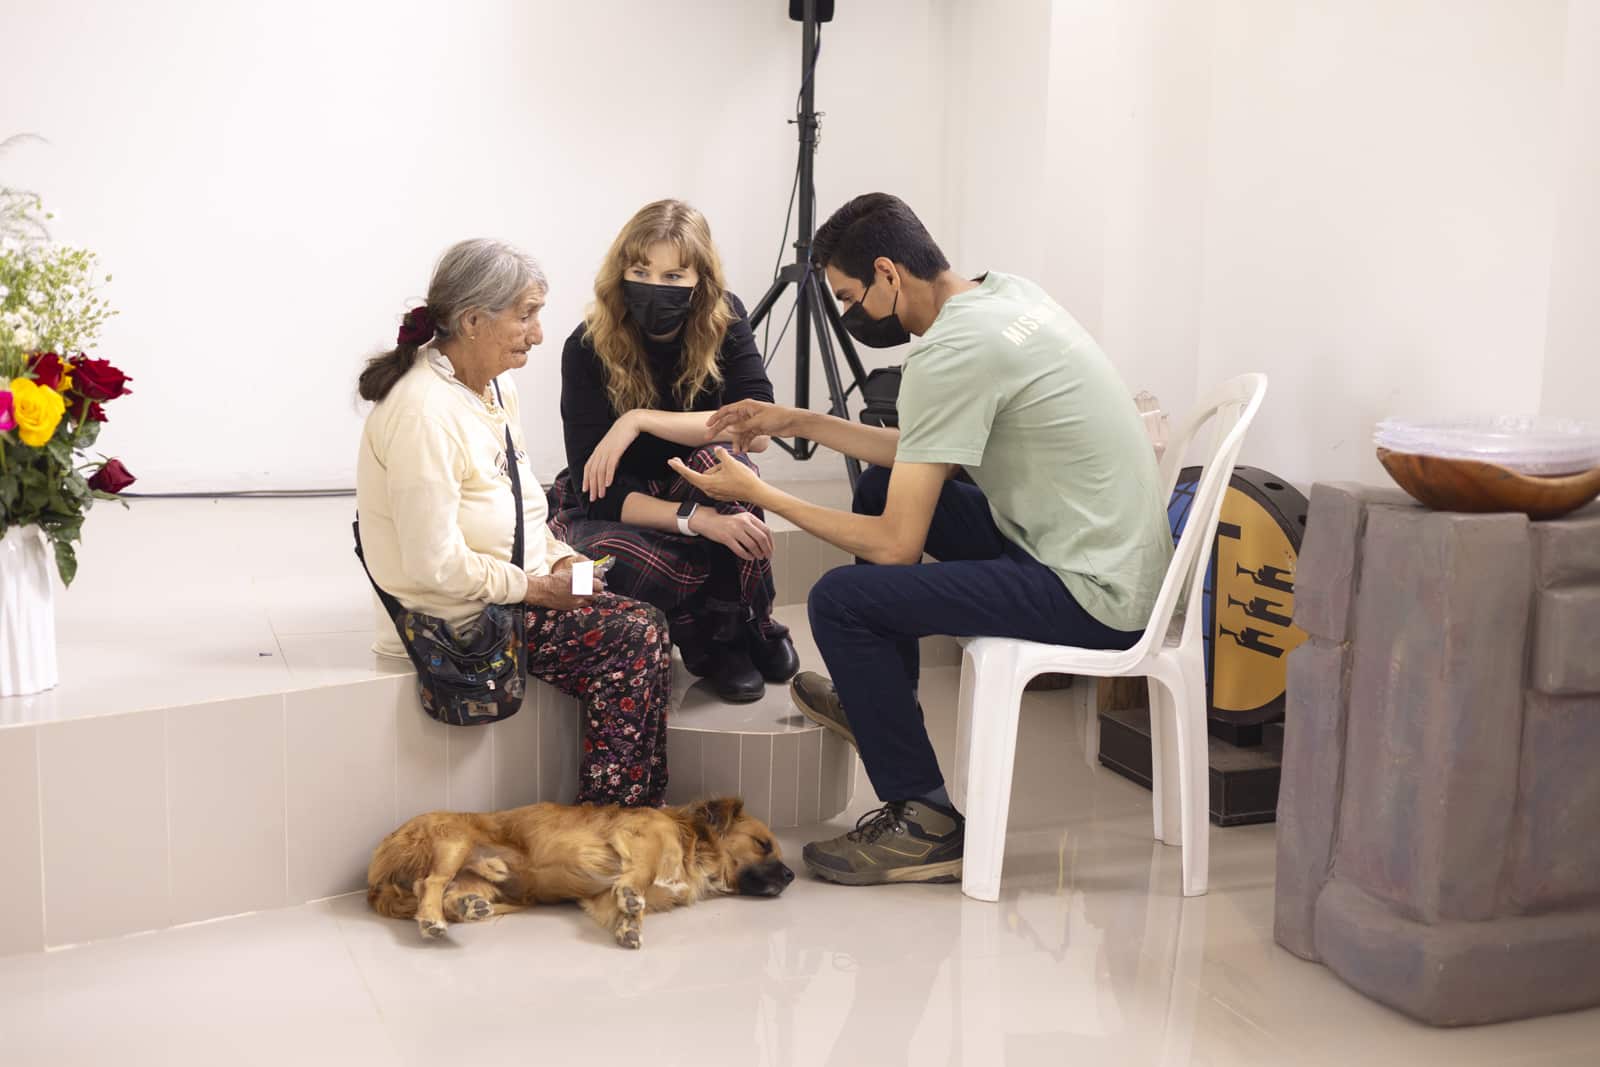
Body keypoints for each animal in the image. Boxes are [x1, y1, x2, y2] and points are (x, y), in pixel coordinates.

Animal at [367, 796, 793, 948]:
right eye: (763, 845)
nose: (791, 876)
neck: (692, 846)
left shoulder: (599, 898)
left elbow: (626, 908)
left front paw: (630, 926)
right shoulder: (640, 838)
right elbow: (639, 876)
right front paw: (632, 899)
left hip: (490, 885)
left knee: (451, 892)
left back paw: (468, 907)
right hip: (453, 843)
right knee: (429, 883)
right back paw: (432, 922)